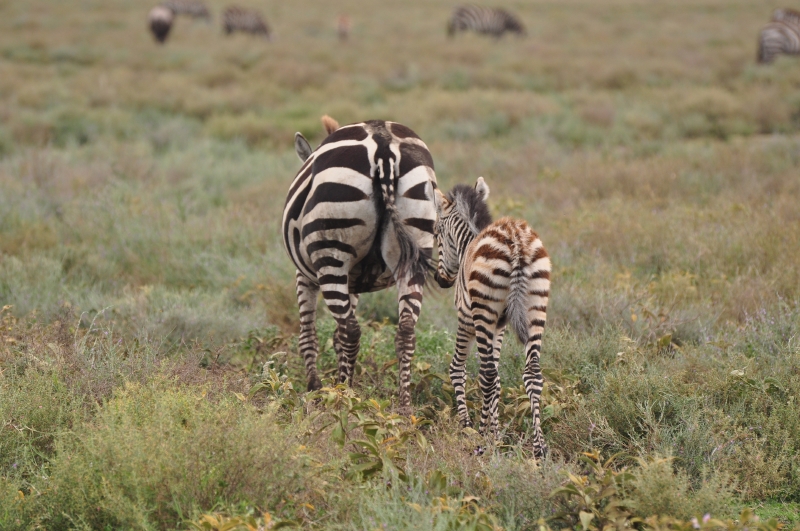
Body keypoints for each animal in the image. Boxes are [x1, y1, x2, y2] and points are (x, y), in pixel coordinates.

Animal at [283, 116, 438, 411]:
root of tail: (384, 148)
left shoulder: (304, 275)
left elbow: (309, 336)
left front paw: (314, 387)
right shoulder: (353, 280)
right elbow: (334, 336)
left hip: (331, 252)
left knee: (351, 331)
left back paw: (343, 396)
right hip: (415, 251)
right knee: (406, 331)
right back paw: (404, 407)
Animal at [433, 177, 551, 458]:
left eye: (435, 234)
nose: (440, 280)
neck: (467, 244)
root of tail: (517, 240)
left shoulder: (467, 318)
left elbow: (460, 369)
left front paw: (471, 427)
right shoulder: (500, 325)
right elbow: (496, 377)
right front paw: (494, 429)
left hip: (484, 309)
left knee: (486, 373)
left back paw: (483, 442)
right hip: (535, 308)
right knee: (532, 373)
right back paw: (539, 448)